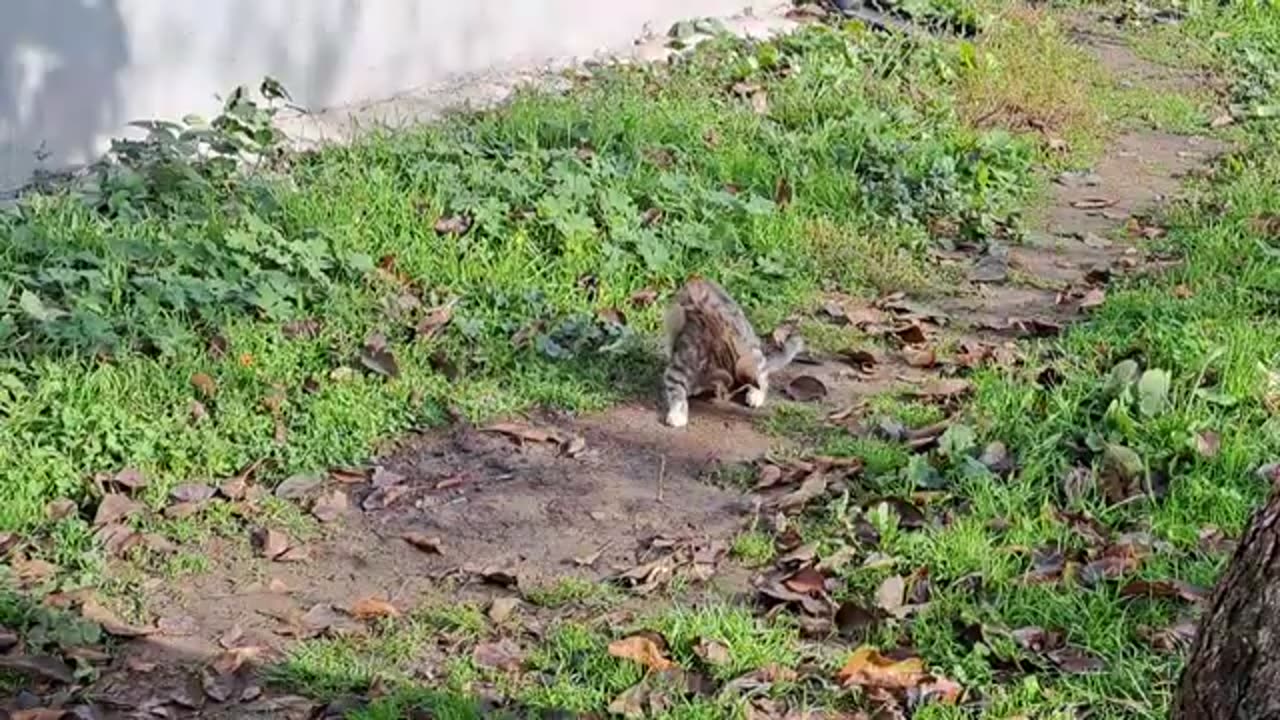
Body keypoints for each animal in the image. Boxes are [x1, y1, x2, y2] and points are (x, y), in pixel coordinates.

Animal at [660, 275, 798, 425]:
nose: (724, 398)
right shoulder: (679, 365)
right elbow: (677, 389)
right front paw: (678, 411)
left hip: (752, 349)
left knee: (763, 375)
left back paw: (756, 393)